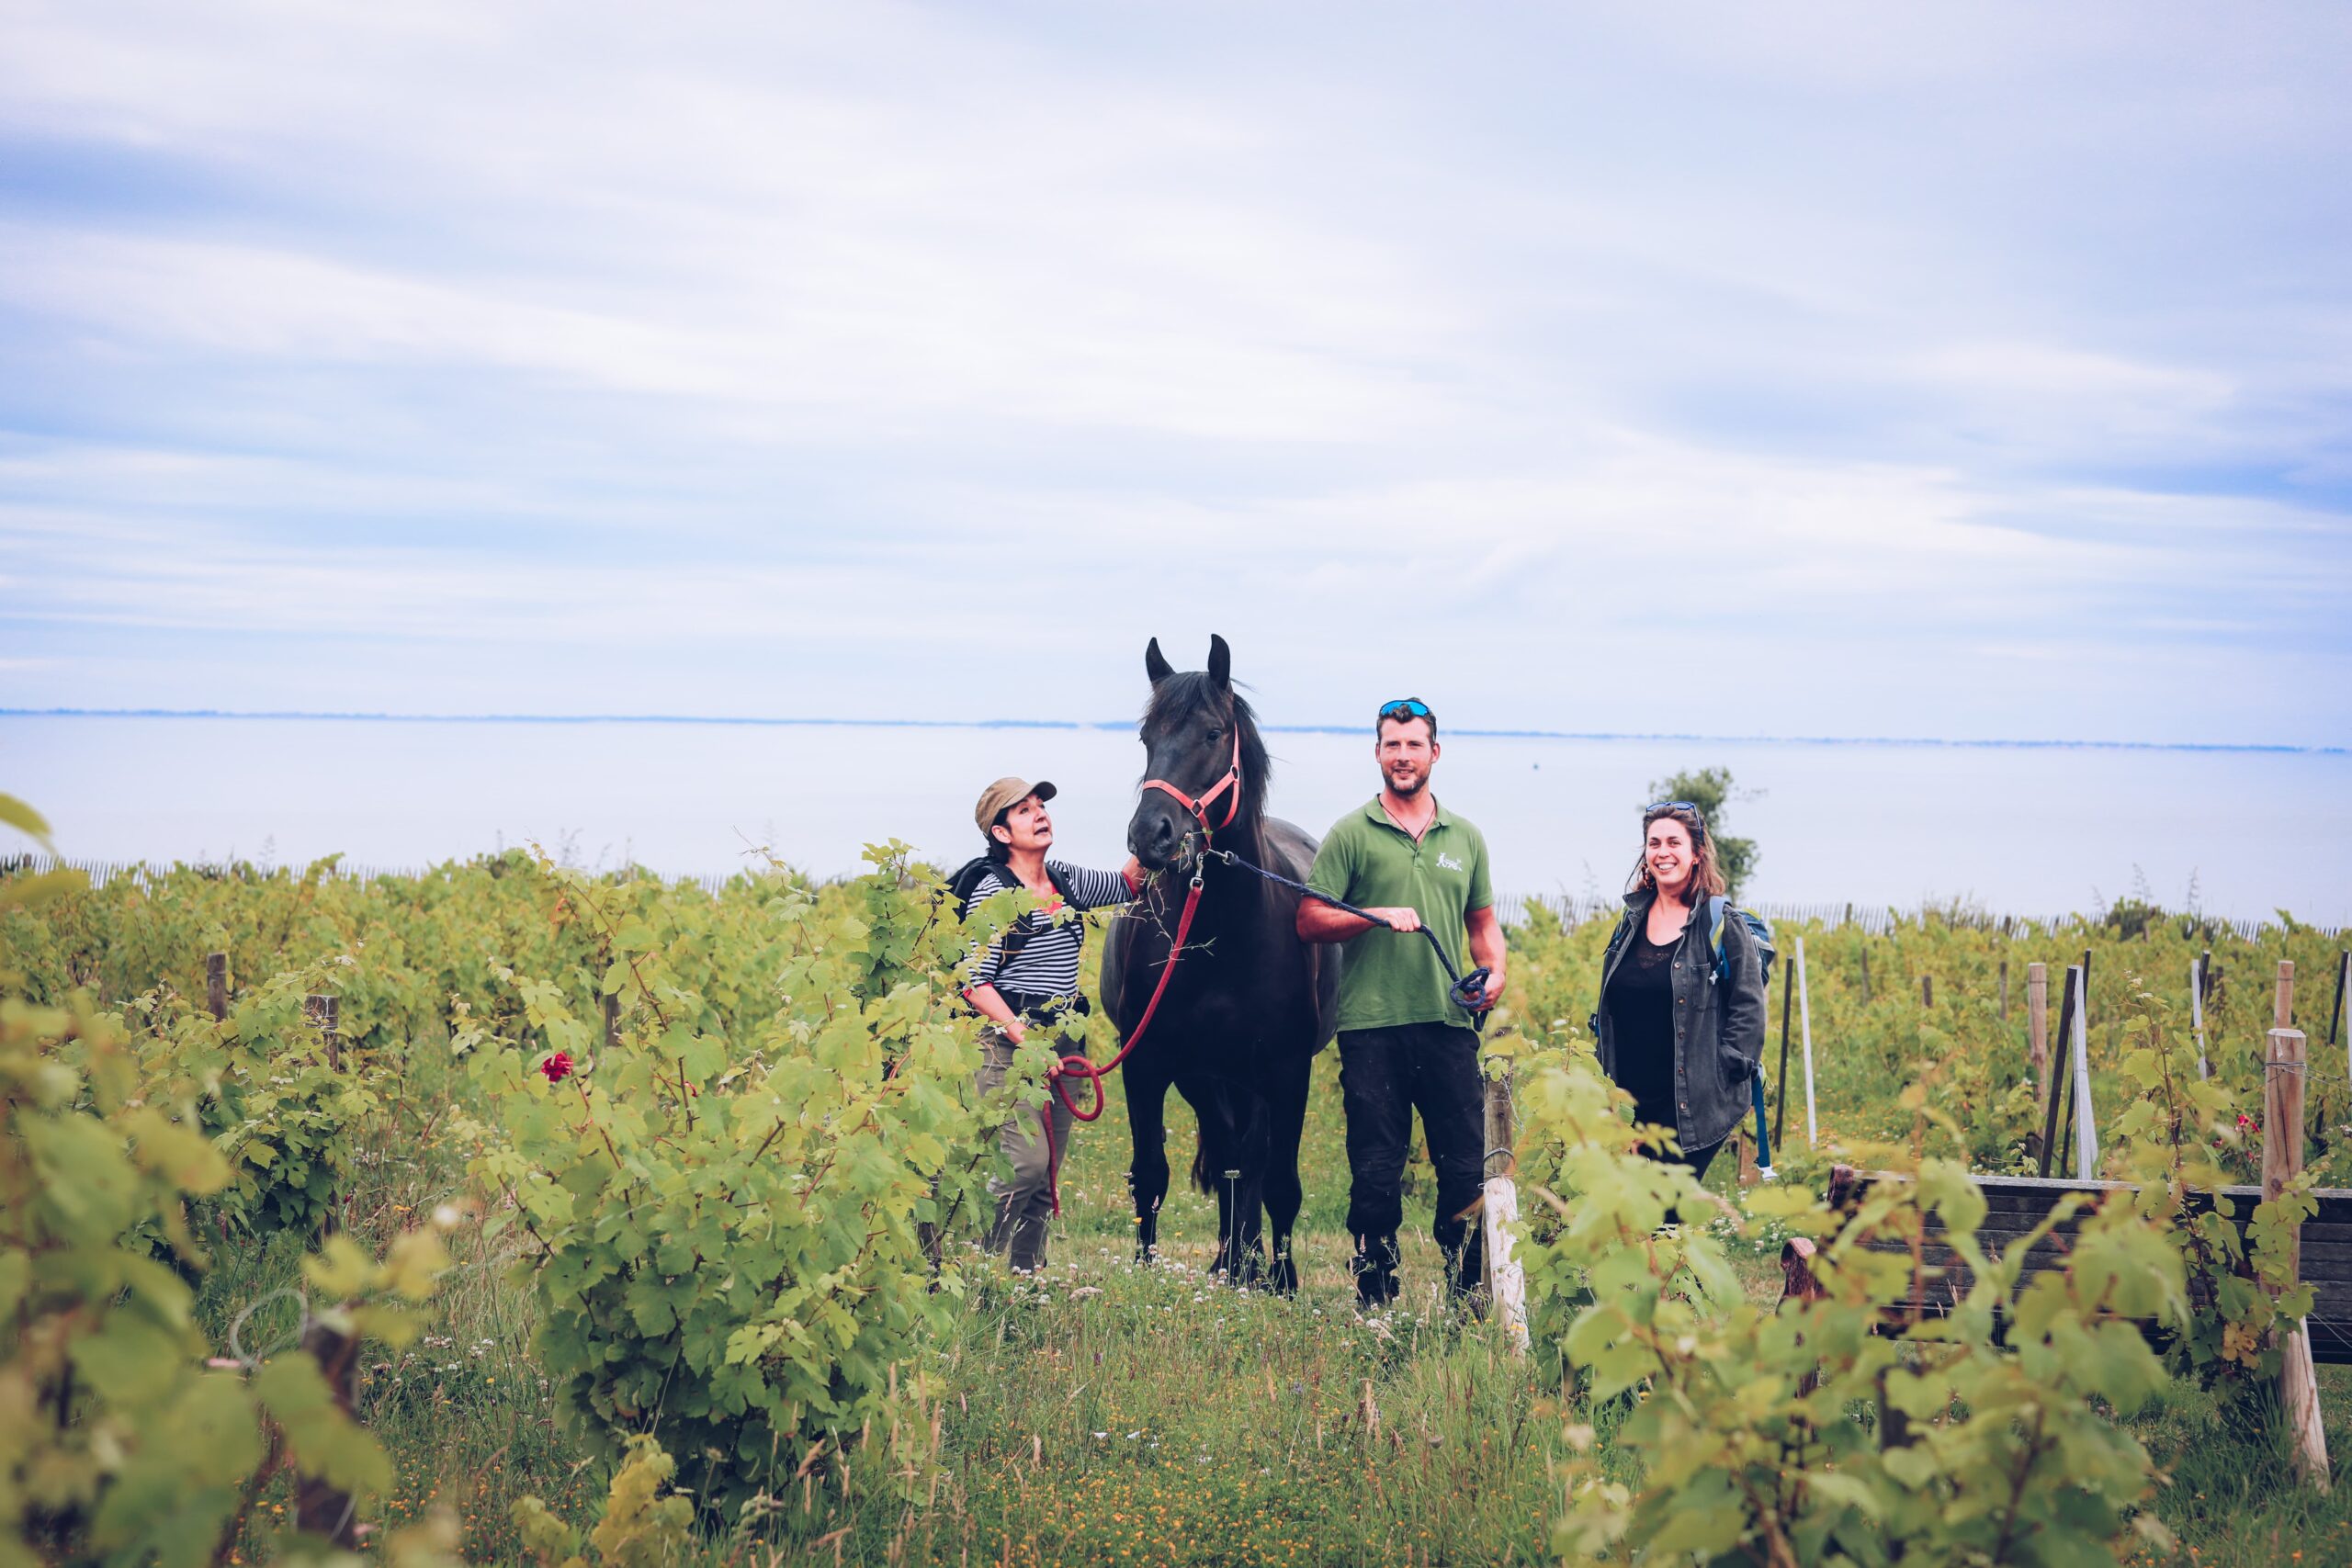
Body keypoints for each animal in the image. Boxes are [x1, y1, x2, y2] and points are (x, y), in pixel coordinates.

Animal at [1091, 634, 1336, 1288]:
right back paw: (1231, 1260)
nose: (1150, 834)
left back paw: (1246, 1263)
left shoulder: (1287, 1070)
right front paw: (1145, 1270)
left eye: (1212, 734)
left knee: (1249, 1160)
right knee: (1229, 1153)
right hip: (1206, 1076)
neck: (1222, 930)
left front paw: (1281, 1280)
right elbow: (1150, 1173)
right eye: (1146, 738)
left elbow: (1279, 1182)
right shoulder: (1147, 1060)